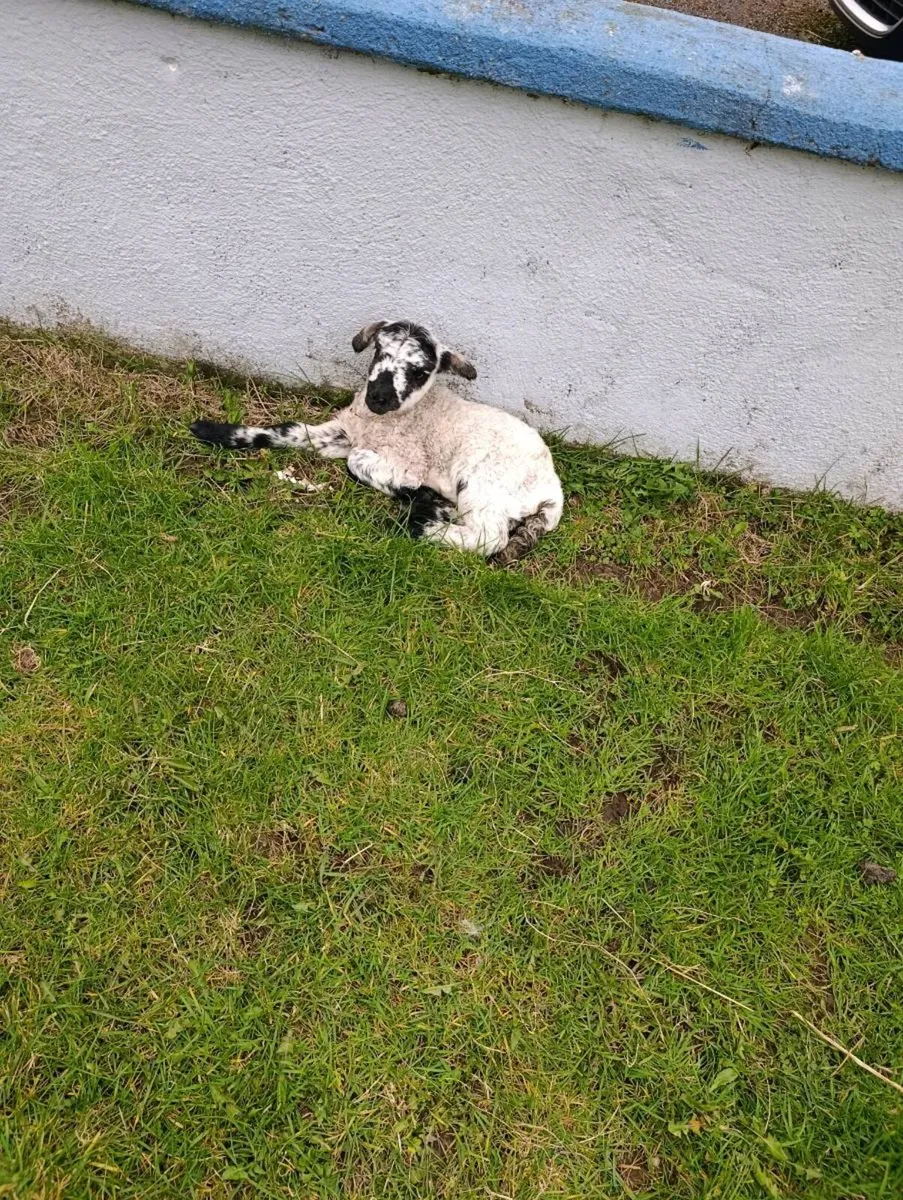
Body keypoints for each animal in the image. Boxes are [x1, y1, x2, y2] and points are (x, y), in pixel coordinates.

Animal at [190, 320, 564, 563]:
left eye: (419, 371)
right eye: (378, 351)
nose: (379, 396)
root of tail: (552, 492)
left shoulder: (410, 461)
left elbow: (356, 462)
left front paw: (424, 500)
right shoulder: (342, 432)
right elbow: (288, 431)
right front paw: (211, 431)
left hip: (485, 482)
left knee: (489, 537)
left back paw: (419, 525)